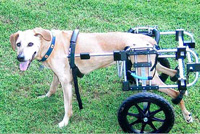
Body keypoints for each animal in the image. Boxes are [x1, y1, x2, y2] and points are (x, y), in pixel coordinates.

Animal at [9, 27, 192, 127]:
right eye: (18, 44)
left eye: (30, 44)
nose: (20, 58)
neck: (51, 44)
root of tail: (149, 40)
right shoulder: (58, 75)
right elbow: (52, 88)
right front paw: (45, 97)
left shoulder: (67, 82)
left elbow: (67, 107)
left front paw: (65, 122)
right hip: (148, 69)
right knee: (173, 73)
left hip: (147, 74)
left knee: (176, 92)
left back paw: (186, 114)